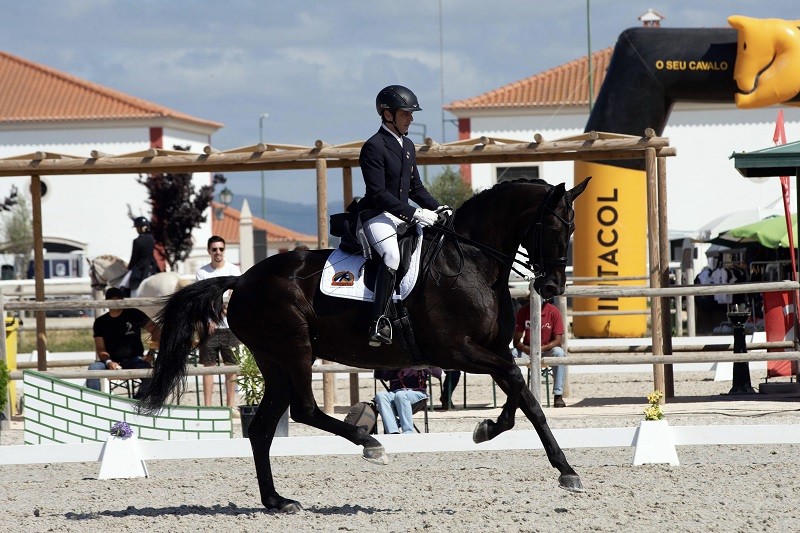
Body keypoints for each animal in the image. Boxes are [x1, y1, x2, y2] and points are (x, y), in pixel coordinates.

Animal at [138, 177, 591, 512]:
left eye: (572, 229)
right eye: (553, 228)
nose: (552, 288)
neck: (472, 263)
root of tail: (242, 279)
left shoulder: (493, 351)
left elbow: (521, 393)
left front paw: (491, 431)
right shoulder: (457, 352)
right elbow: (522, 389)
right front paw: (565, 470)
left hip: (274, 362)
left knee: (263, 427)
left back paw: (277, 501)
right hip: (295, 351)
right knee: (303, 410)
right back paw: (371, 445)